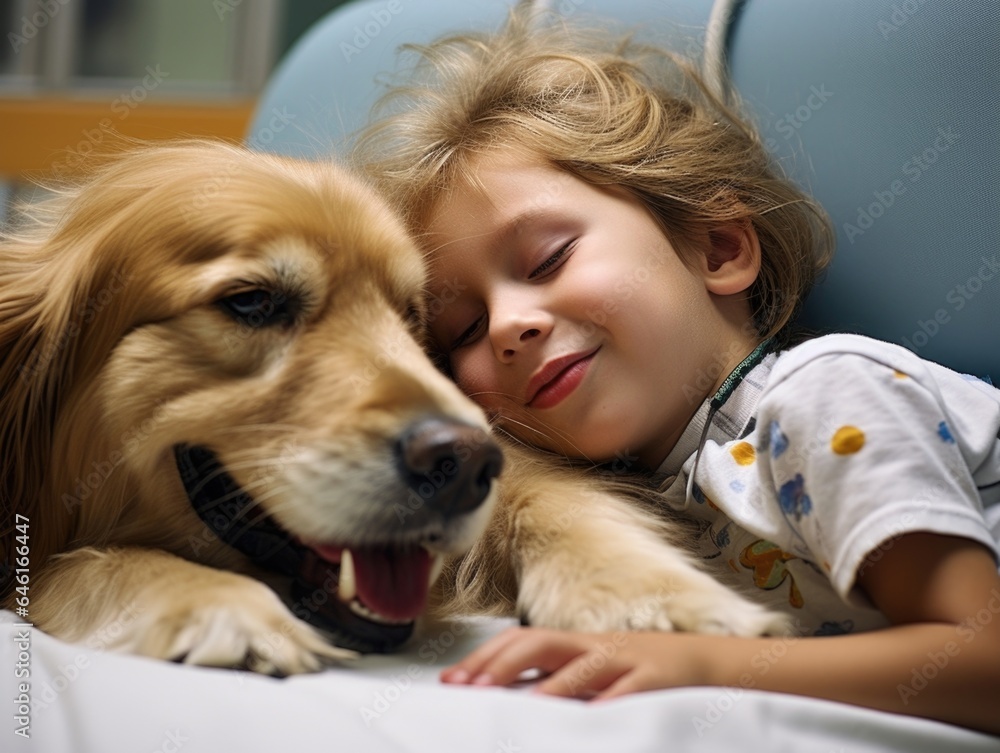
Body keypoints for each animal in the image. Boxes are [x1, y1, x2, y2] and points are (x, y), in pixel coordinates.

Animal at [1, 141, 788, 676]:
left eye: (413, 316)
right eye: (251, 302)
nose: (463, 461)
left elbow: (551, 499)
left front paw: (648, 597)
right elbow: (83, 563)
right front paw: (215, 603)